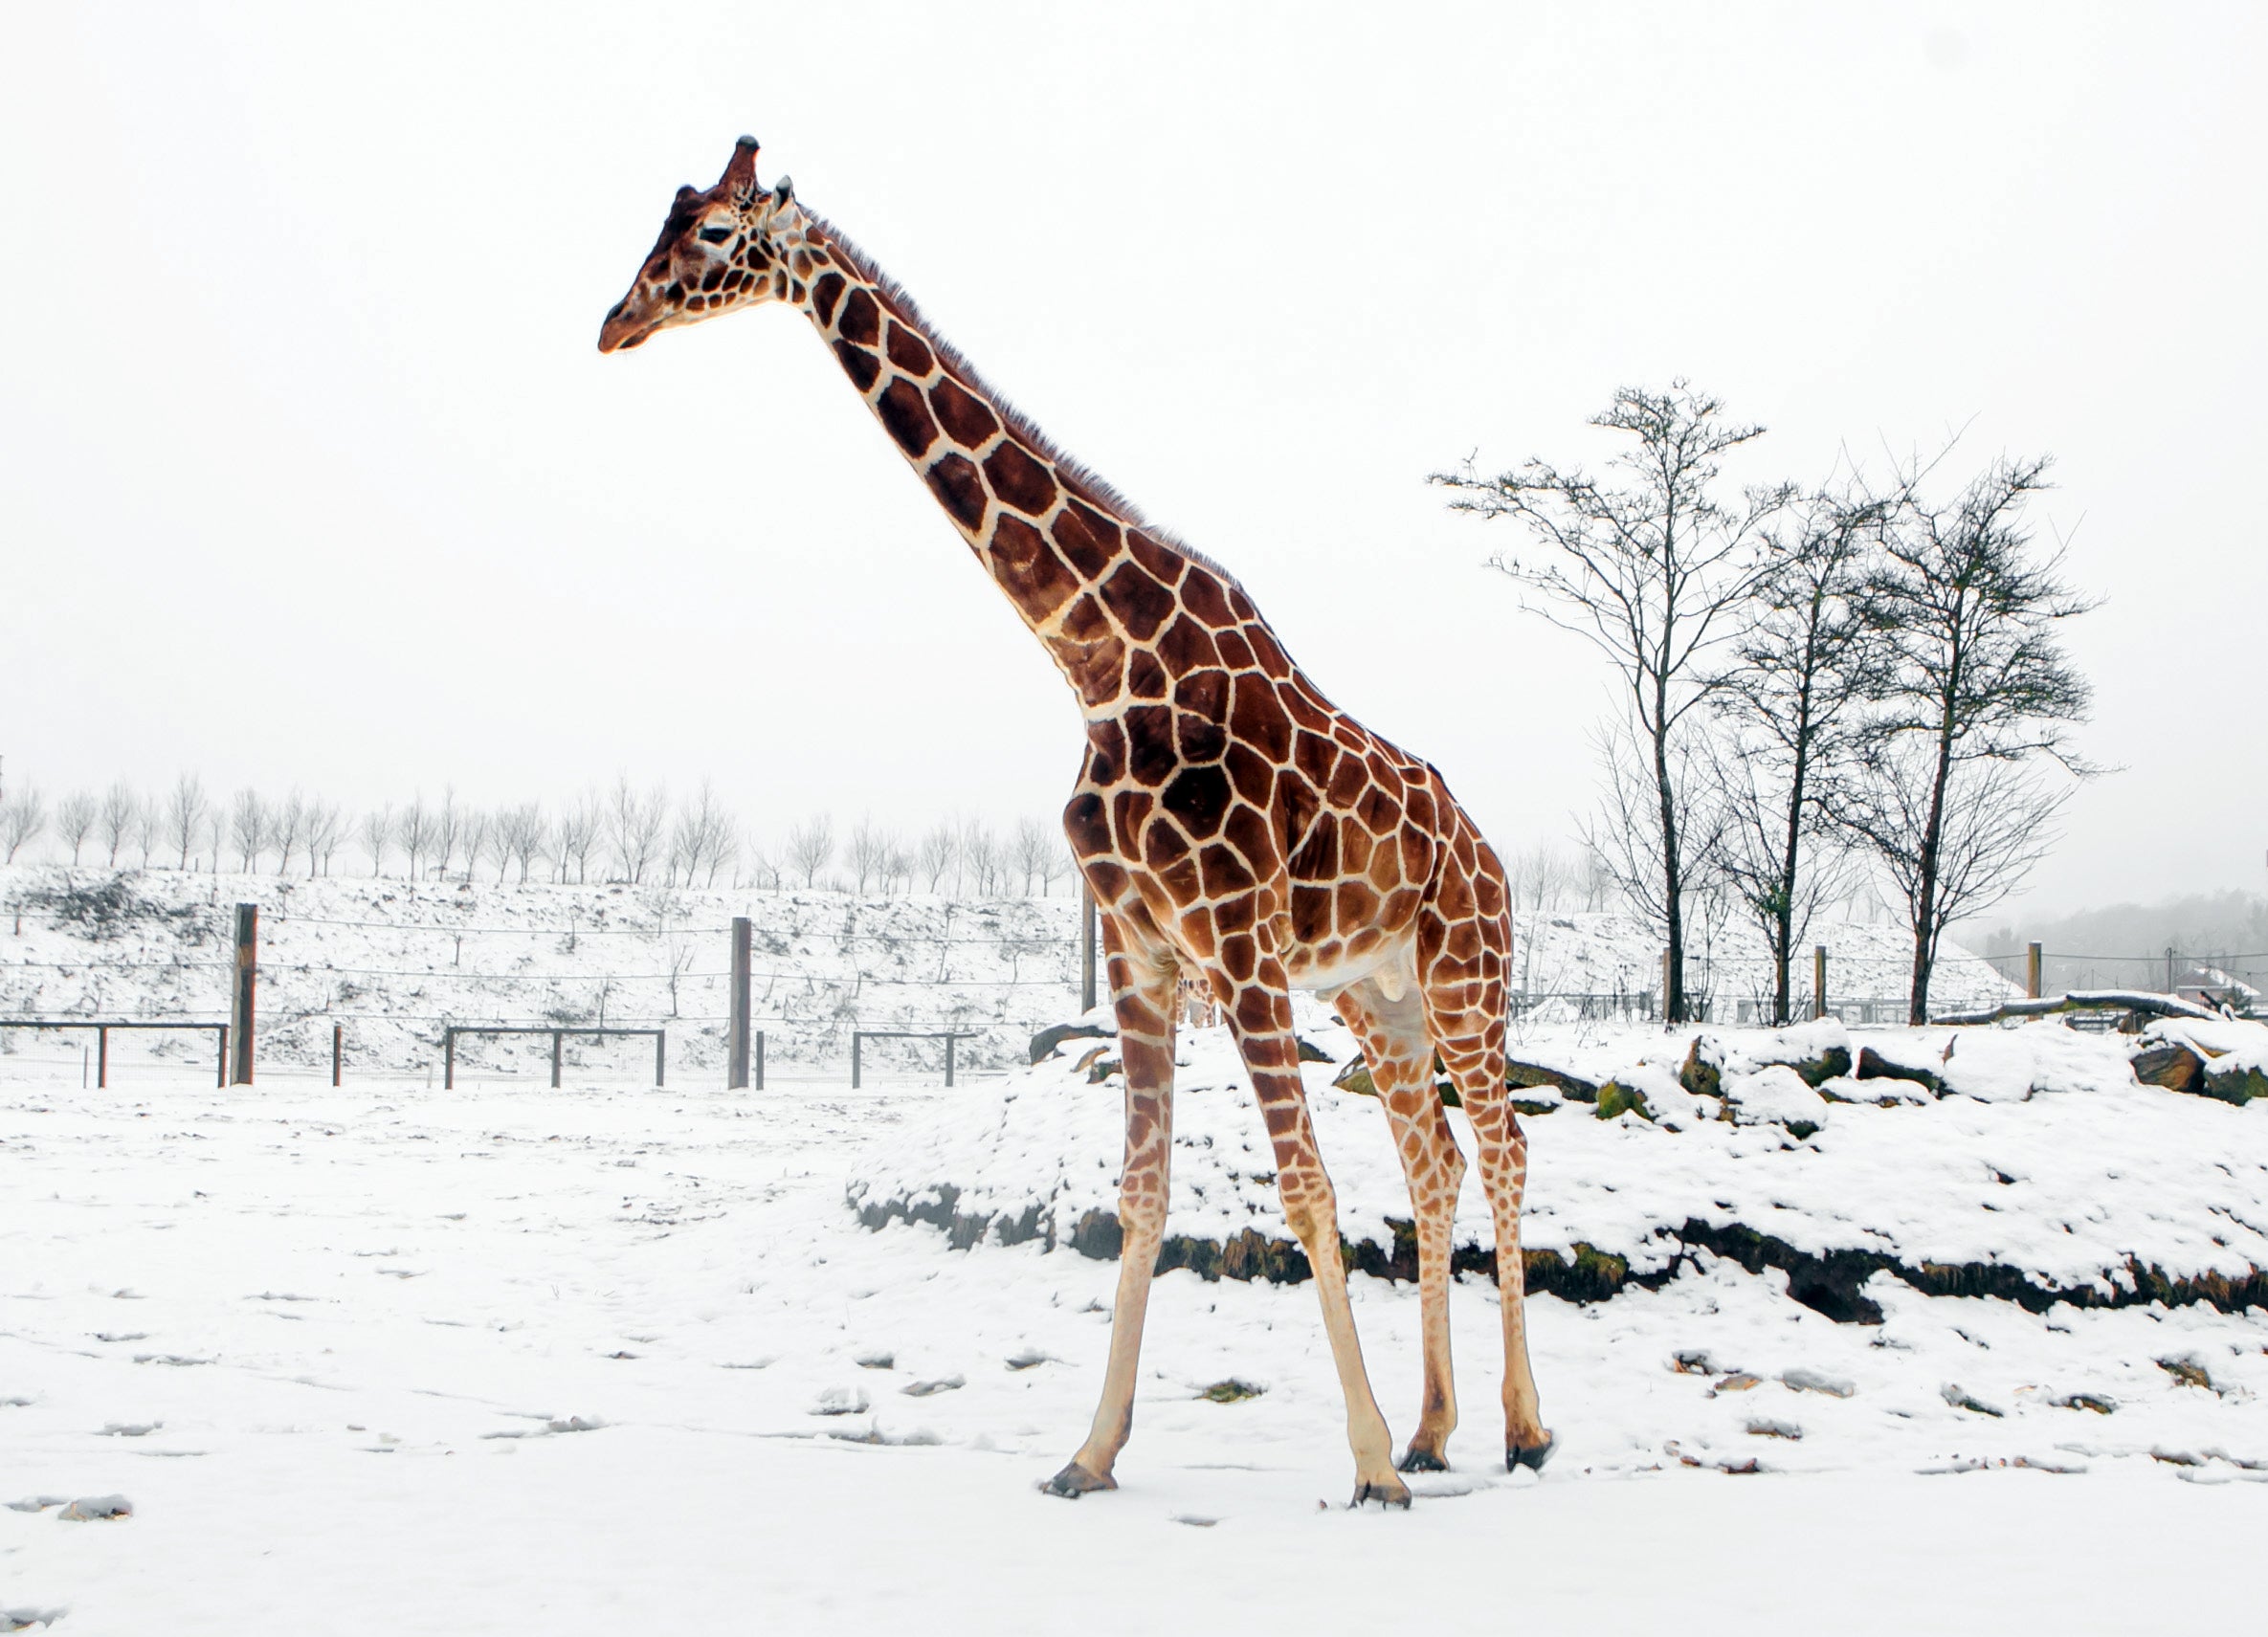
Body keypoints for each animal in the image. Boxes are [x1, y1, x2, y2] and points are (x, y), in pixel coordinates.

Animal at [603, 133, 1551, 1496]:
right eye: (665, 221)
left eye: (719, 234)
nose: (615, 322)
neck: (1100, 661)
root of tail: (1493, 860)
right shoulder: (1143, 953)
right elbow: (1142, 1196)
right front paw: (1091, 1452)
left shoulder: (1239, 946)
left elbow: (1305, 1188)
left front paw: (1365, 1464)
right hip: (1381, 998)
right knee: (1438, 1163)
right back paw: (1437, 1427)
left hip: (1467, 977)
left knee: (1506, 1150)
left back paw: (1519, 1428)